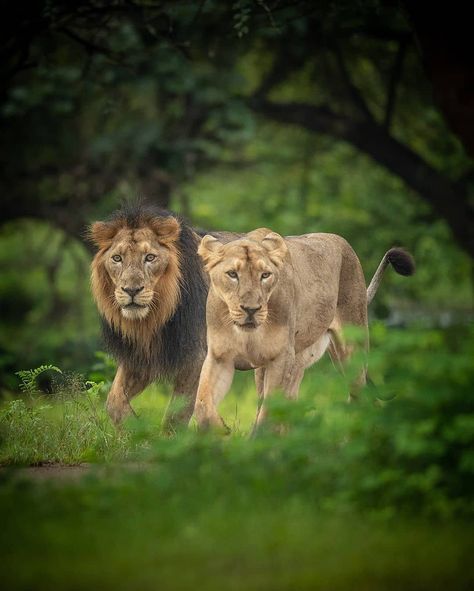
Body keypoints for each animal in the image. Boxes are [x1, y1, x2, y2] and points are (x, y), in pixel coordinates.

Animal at [193, 228, 414, 430]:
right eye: (232, 274)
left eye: (265, 275)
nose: (251, 309)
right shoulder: (220, 357)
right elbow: (202, 403)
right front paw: (220, 430)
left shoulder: (281, 359)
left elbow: (268, 415)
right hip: (293, 363)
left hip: (351, 352)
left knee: (361, 399)